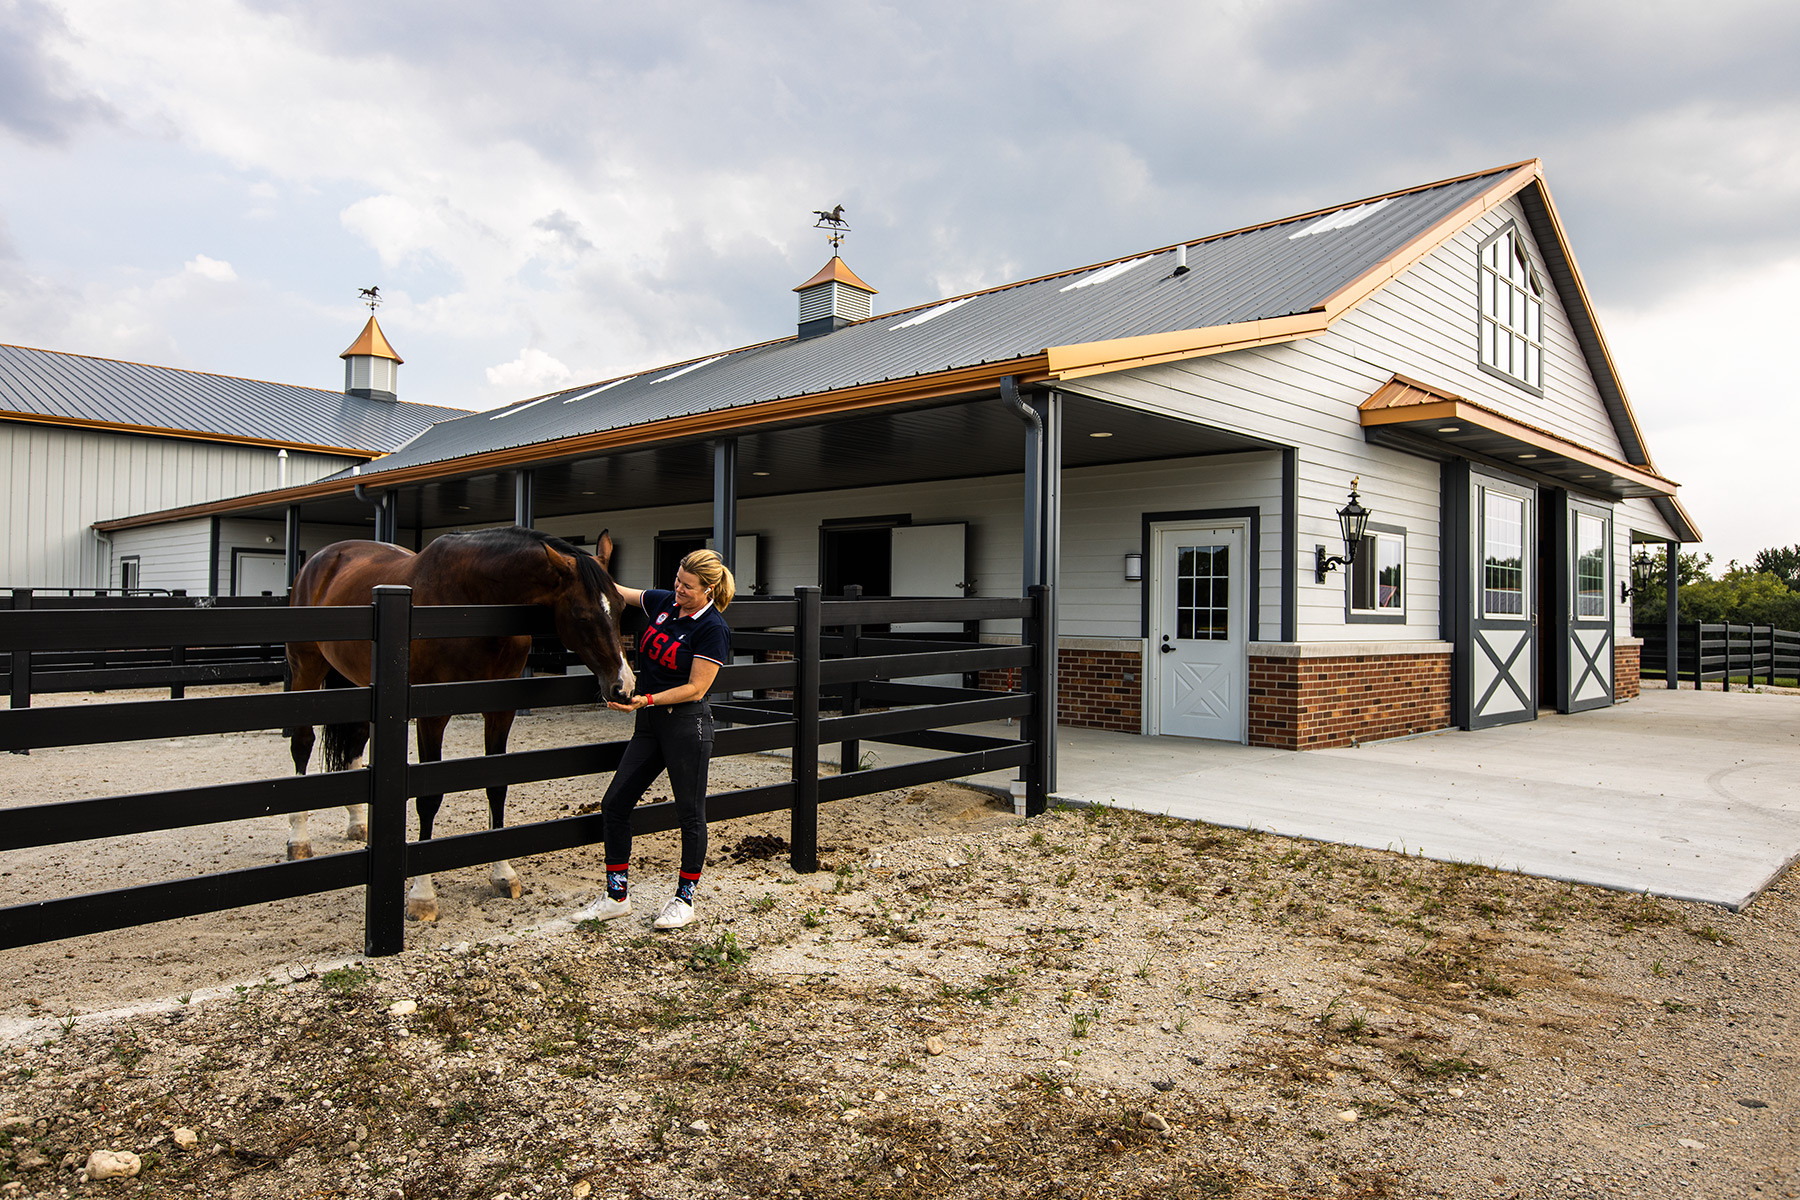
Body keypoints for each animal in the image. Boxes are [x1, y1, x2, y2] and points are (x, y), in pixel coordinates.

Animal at [284, 521, 637, 928]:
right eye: (581, 614)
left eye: (621, 607)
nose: (624, 686)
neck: (474, 603)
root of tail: (322, 559)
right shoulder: (430, 716)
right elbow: (428, 798)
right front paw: (422, 896)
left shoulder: (500, 710)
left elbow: (496, 786)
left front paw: (503, 874)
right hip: (306, 671)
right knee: (301, 743)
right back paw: (299, 840)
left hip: (355, 682)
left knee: (355, 740)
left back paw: (358, 823)